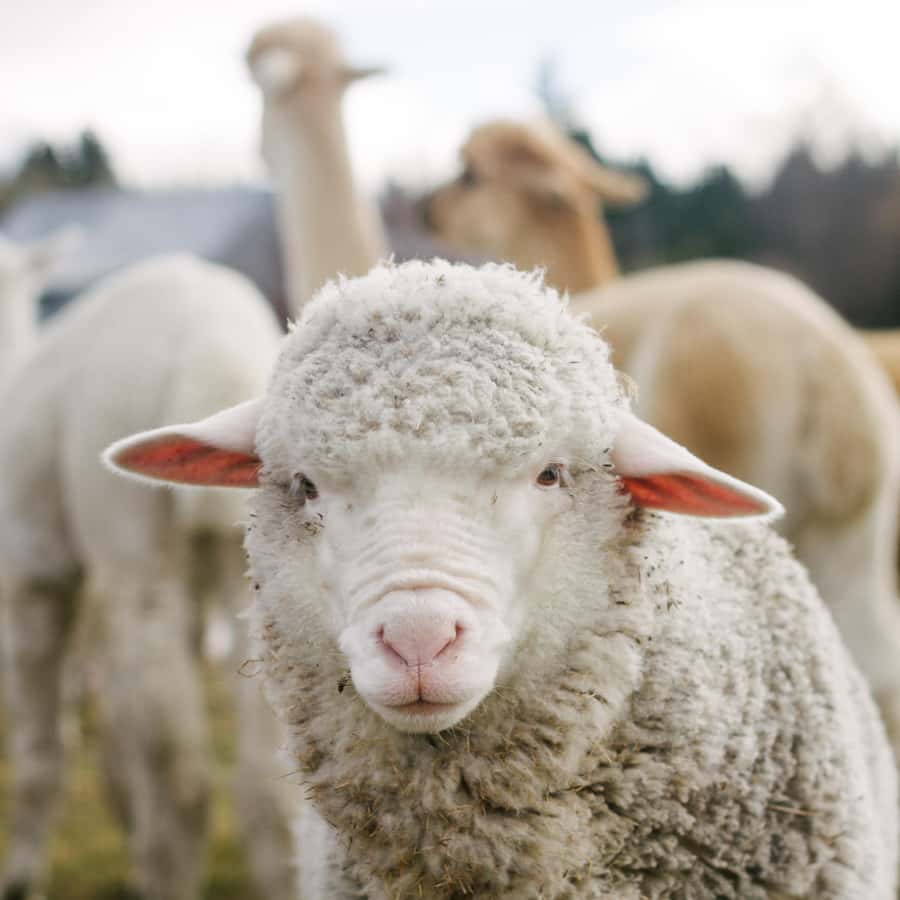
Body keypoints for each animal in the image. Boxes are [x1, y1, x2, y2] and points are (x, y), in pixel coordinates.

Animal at [0, 255, 294, 900]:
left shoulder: (34, 572)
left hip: (130, 541)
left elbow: (42, 754)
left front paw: (22, 876)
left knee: (181, 779)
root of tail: (211, 362)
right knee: (263, 780)